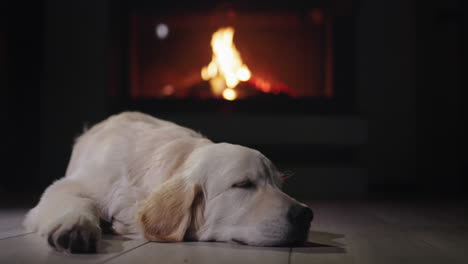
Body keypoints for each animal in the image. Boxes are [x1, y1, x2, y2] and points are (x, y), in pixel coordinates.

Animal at [22, 111, 314, 254]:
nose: (306, 214)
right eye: (243, 184)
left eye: (279, 185)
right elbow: (74, 198)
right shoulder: (74, 183)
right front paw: (75, 225)